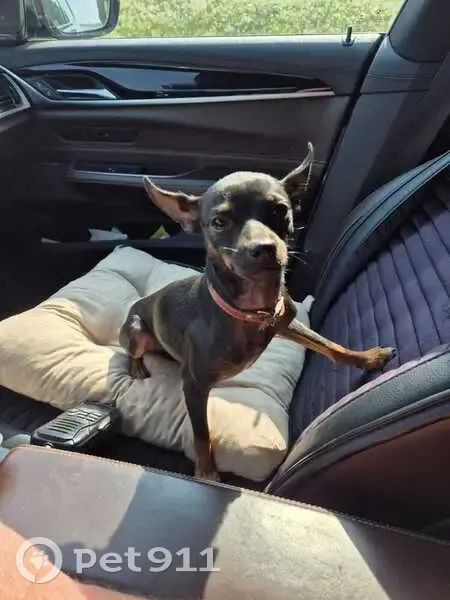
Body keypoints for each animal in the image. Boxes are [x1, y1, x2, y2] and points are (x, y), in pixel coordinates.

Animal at [119, 143, 394, 481]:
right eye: (219, 222)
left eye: (280, 210)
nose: (264, 248)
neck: (251, 310)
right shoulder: (194, 386)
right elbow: (201, 433)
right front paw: (207, 472)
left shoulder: (286, 323)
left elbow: (331, 346)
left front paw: (367, 358)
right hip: (136, 329)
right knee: (131, 351)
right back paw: (136, 368)